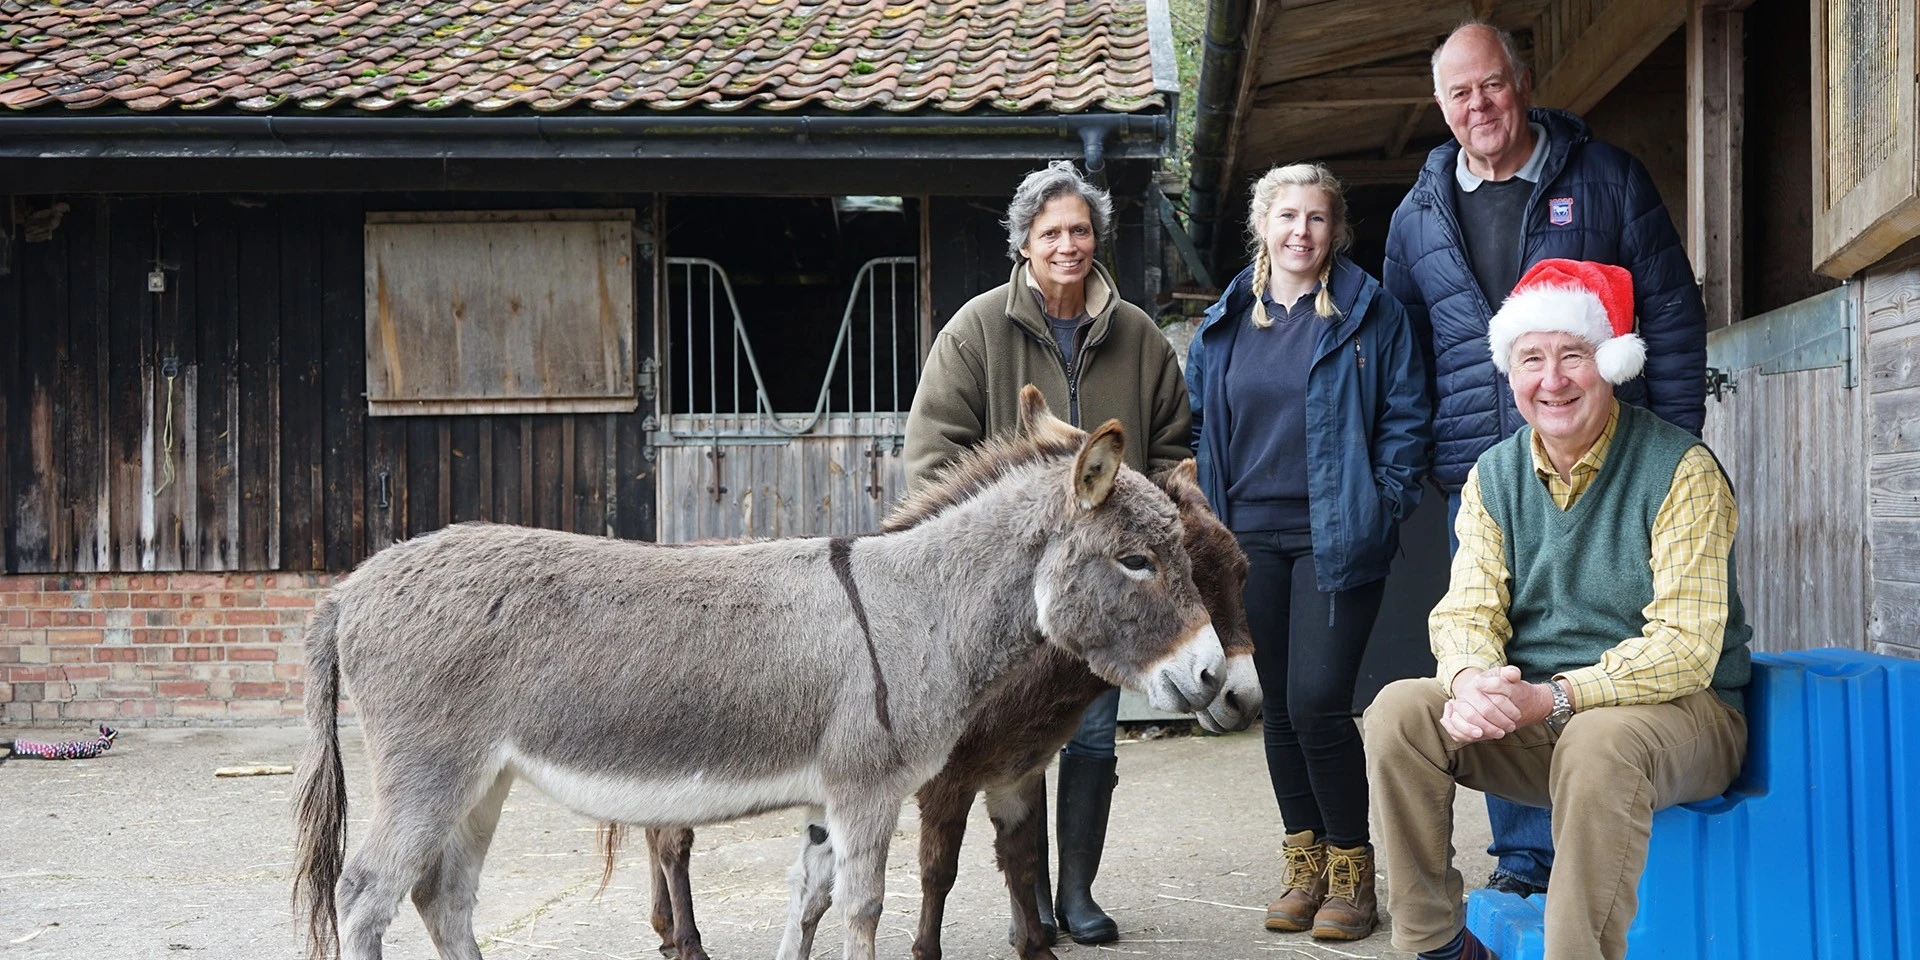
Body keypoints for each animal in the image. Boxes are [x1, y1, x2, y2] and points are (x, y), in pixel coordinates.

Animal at [292, 398, 1225, 960]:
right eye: (1137, 561)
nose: (1215, 675)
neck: (918, 606)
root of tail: (349, 588)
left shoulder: (828, 801)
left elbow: (807, 896)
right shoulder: (866, 791)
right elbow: (861, 910)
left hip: (482, 780)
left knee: (442, 898)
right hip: (429, 773)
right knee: (367, 893)